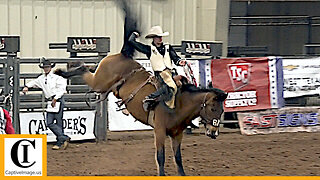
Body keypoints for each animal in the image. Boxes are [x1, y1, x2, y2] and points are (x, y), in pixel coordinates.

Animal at [55, 52, 228, 175]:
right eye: (213, 108)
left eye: (222, 110)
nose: (214, 132)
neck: (178, 103)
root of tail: (120, 55)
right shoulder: (159, 130)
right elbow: (161, 156)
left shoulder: (177, 134)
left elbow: (178, 158)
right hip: (99, 82)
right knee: (85, 70)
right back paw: (61, 71)